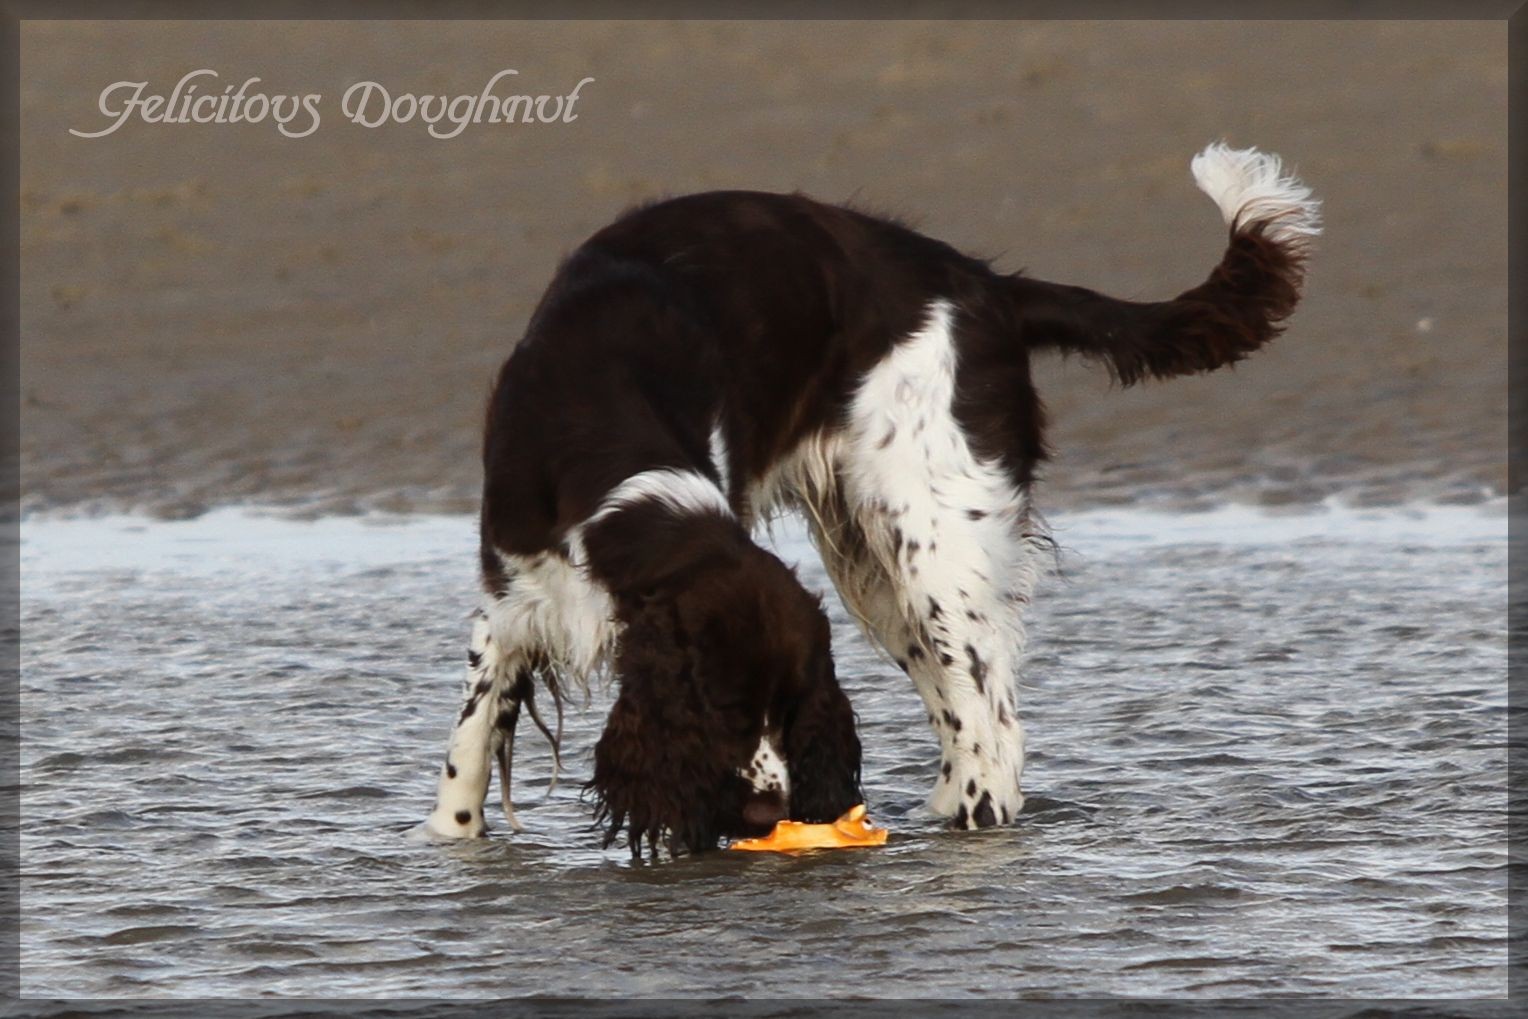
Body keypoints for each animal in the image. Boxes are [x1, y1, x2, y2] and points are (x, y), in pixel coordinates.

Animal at [421, 143, 1326, 855]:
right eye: (724, 706)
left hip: (934, 552)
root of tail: (990, 286)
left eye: (787, 709)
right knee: (964, 721)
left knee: (991, 734)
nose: (767, 811)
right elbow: (465, 760)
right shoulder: (507, 603)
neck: (599, 407)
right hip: (874, 574)